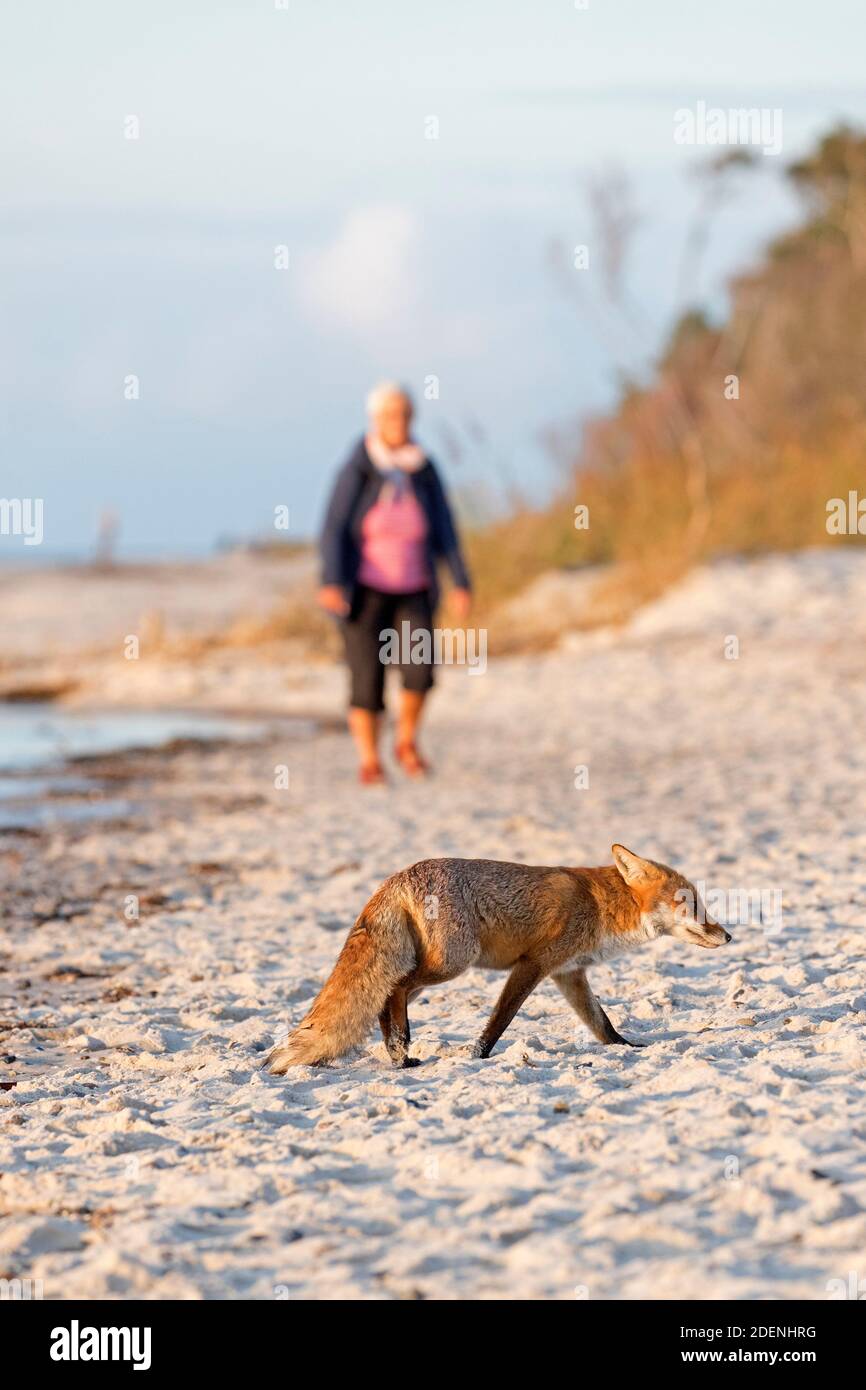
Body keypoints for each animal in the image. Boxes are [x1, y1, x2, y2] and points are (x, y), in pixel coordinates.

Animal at [265, 839, 733, 1067]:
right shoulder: (535, 964)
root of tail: (396, 877)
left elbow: (601, 1023)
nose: (728, 936)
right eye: (693, 904)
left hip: (434, 966)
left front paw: (626, 1048)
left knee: (385, 997)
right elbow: (500, 1019)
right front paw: (478, 1055)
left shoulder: (568, 973)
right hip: (452, 963)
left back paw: (398, 1051)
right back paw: (400, 1051)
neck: (600, 906)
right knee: (394, 988)